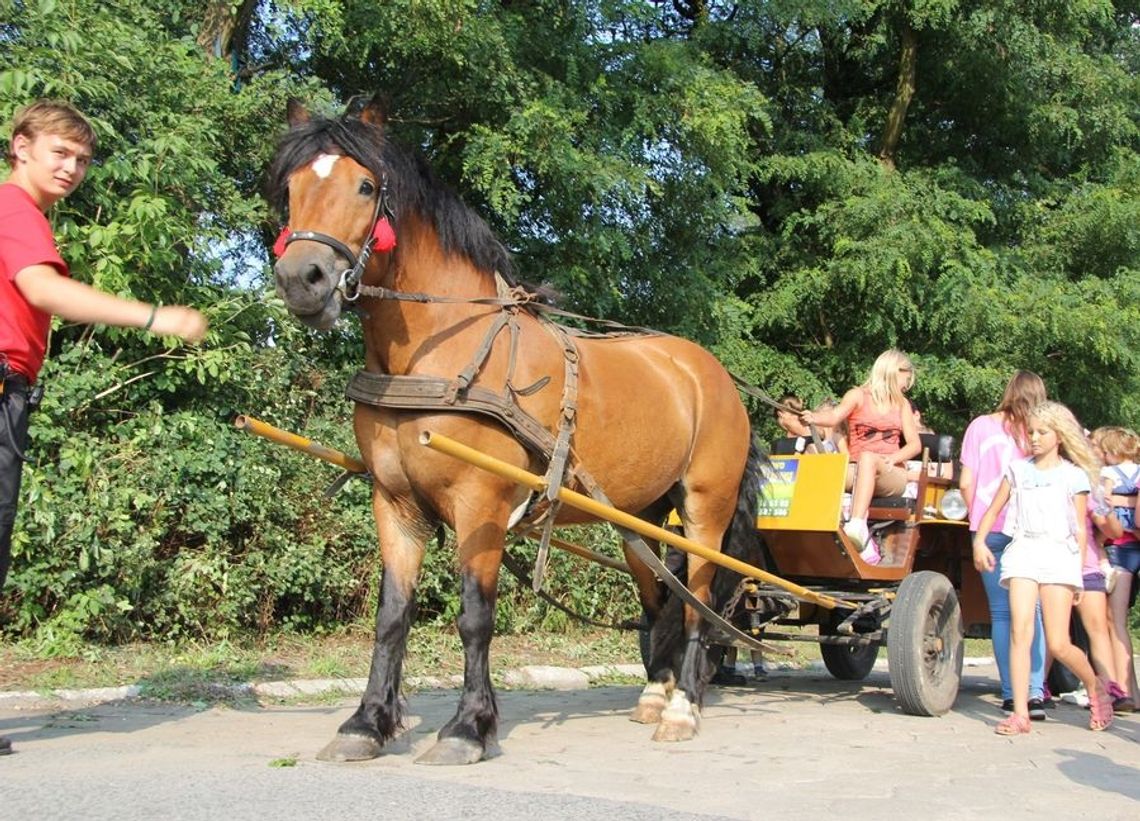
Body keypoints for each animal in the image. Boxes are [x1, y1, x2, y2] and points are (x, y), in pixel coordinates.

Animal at [269, 99, 756, 766]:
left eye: (365, 186)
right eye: (291, 188)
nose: (302, 278)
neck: (439, 355)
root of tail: (712, 373)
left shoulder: (482, 504)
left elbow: (475, 616)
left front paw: (467, 728)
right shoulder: (395, 503)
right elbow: (392, 615)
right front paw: (366, 723)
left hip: (705, 509)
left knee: (697, 604)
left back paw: (682, 708)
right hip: (639, 518)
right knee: (659, 596)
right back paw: (655, 696)